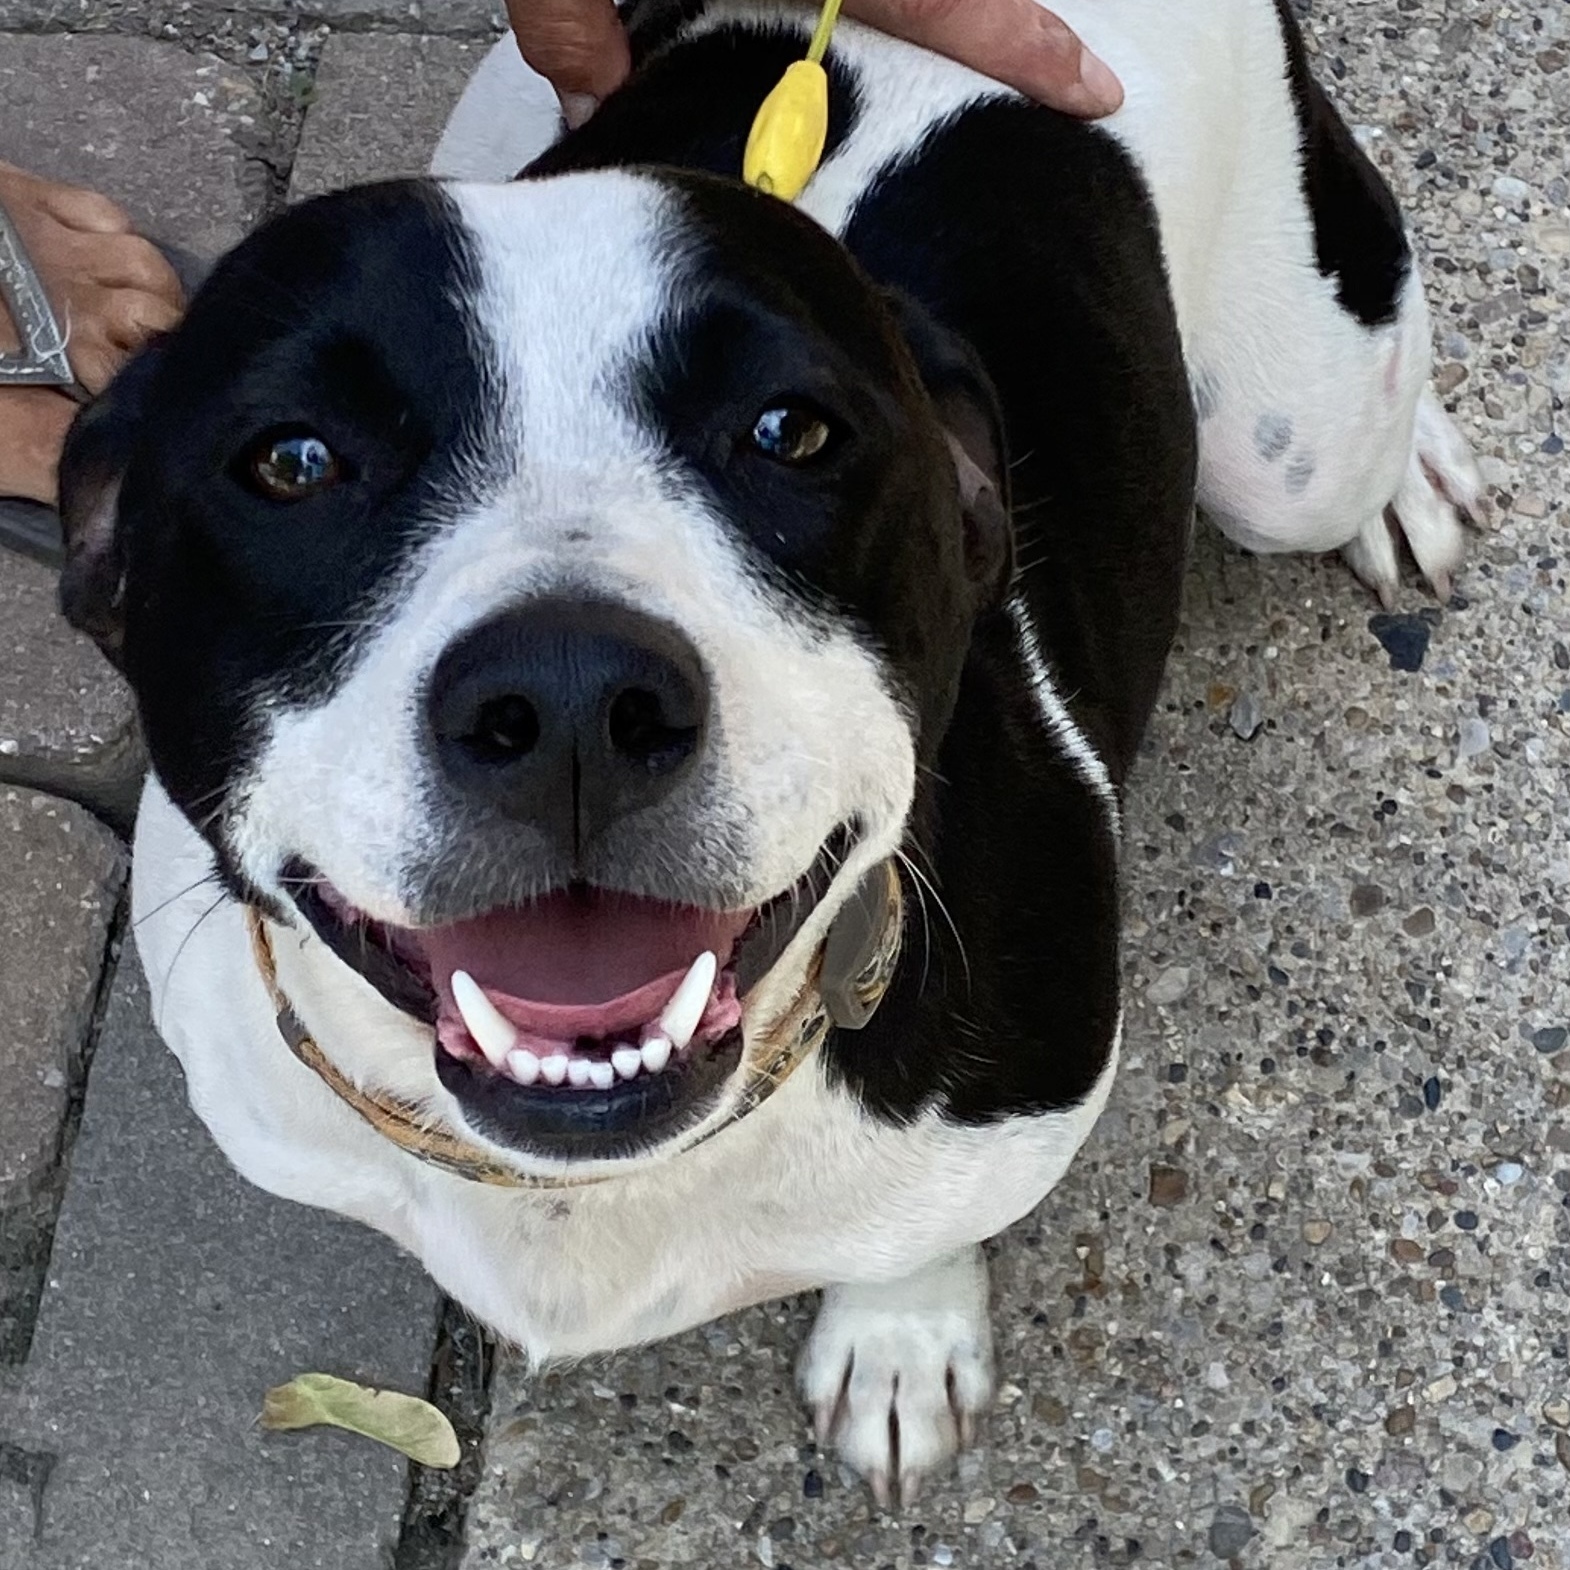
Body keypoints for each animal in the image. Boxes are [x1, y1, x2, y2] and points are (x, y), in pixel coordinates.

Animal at [58, 0, 1482, 1500]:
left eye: (791, 430)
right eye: (291, 461)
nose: (571, 698)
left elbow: (924, 1225)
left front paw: (903, 1333)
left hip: (1289, 438)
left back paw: (1411, 475)